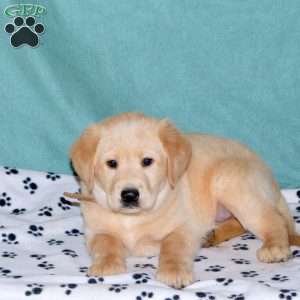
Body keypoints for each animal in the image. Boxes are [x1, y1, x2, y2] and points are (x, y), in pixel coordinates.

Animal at [70, 112, 298, 288]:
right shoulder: (95, 230)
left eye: (147, 161)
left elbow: (173, 246)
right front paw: (106, 265)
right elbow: (105, 243)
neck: (133, 218)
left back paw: (274, 247)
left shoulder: (184, 227)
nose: (129, 195)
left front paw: (174, 272)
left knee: (273, 219)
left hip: (231, 182)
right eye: (111, 163)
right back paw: (213, 235)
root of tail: (269, 174)